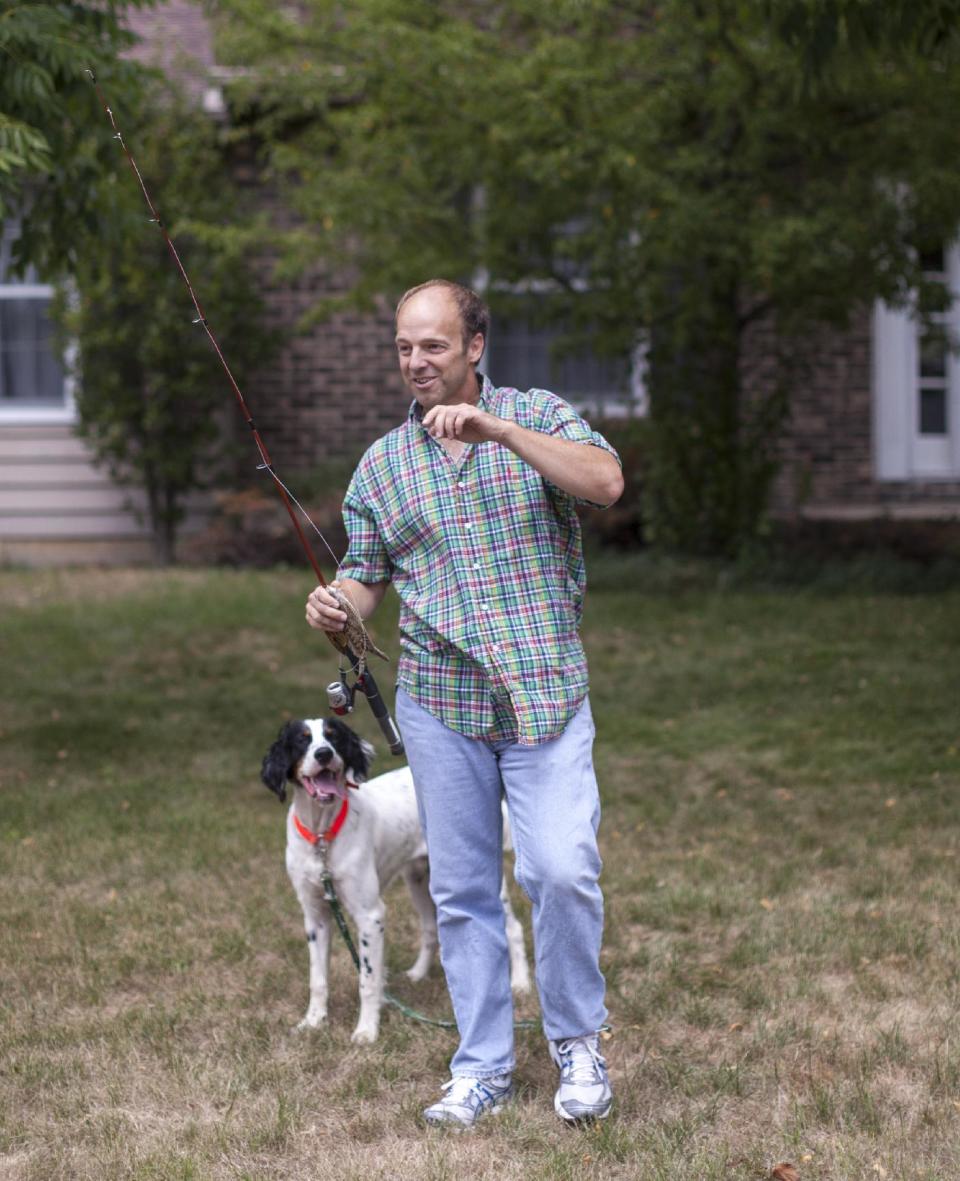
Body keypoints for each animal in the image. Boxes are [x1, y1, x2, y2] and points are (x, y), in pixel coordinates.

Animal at [259, 718, 531, 1044]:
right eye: (301, 741)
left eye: (333, 738)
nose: (324, 754)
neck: (322, 836)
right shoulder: (316, 916)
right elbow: (318, 979)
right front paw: (313, 1022)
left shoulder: (370, 915)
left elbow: (367, 979)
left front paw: (366, 1030)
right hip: (419, 879)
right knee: (430, 928)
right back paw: (418, 973)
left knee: (513, 929)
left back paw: (520, 983)